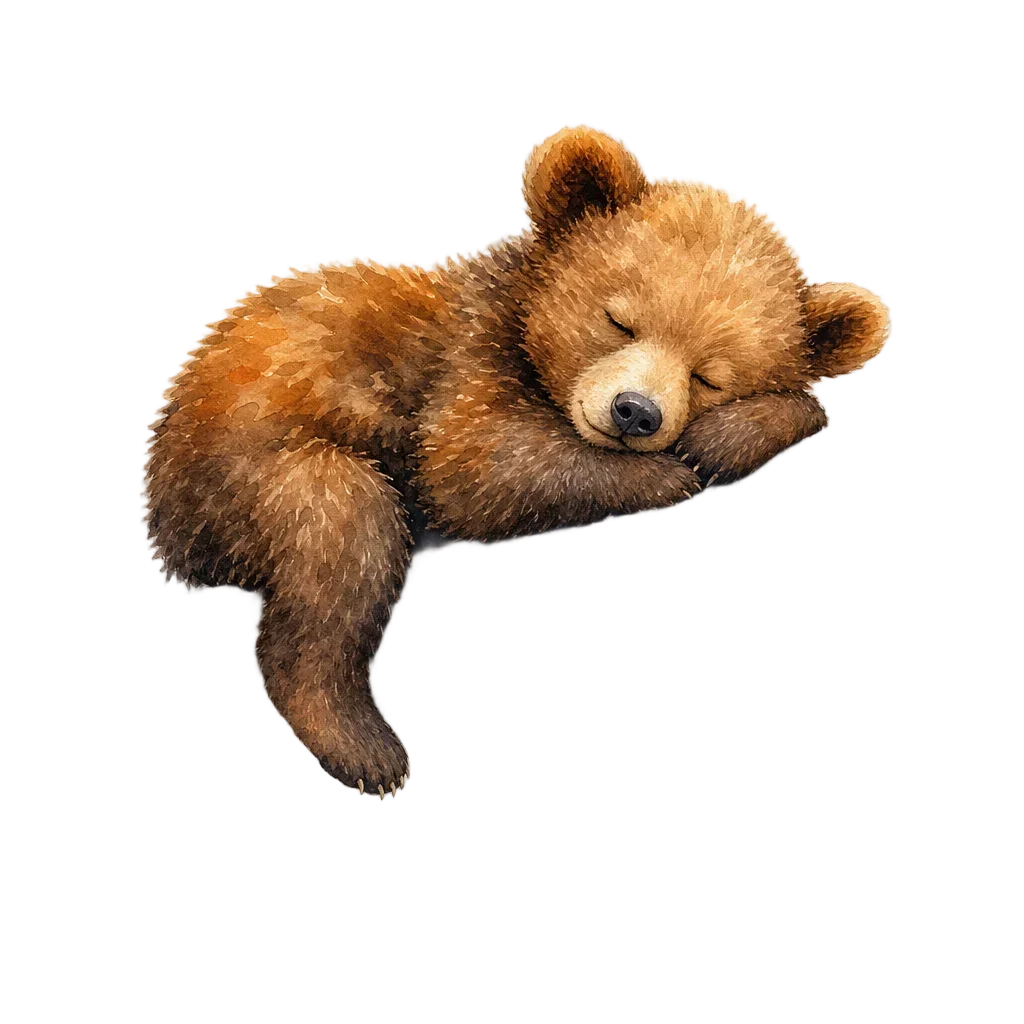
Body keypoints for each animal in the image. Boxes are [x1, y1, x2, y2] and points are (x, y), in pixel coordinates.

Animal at [140, 121, 894, 799]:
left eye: (710, 374)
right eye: (618, 318)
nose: (634, 411)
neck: (517, 315)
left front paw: (727, 434)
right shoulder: (465, 358)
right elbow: (476, 467)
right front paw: (665, 472)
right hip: (241, 466)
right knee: (339, 533)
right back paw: (364, 745)